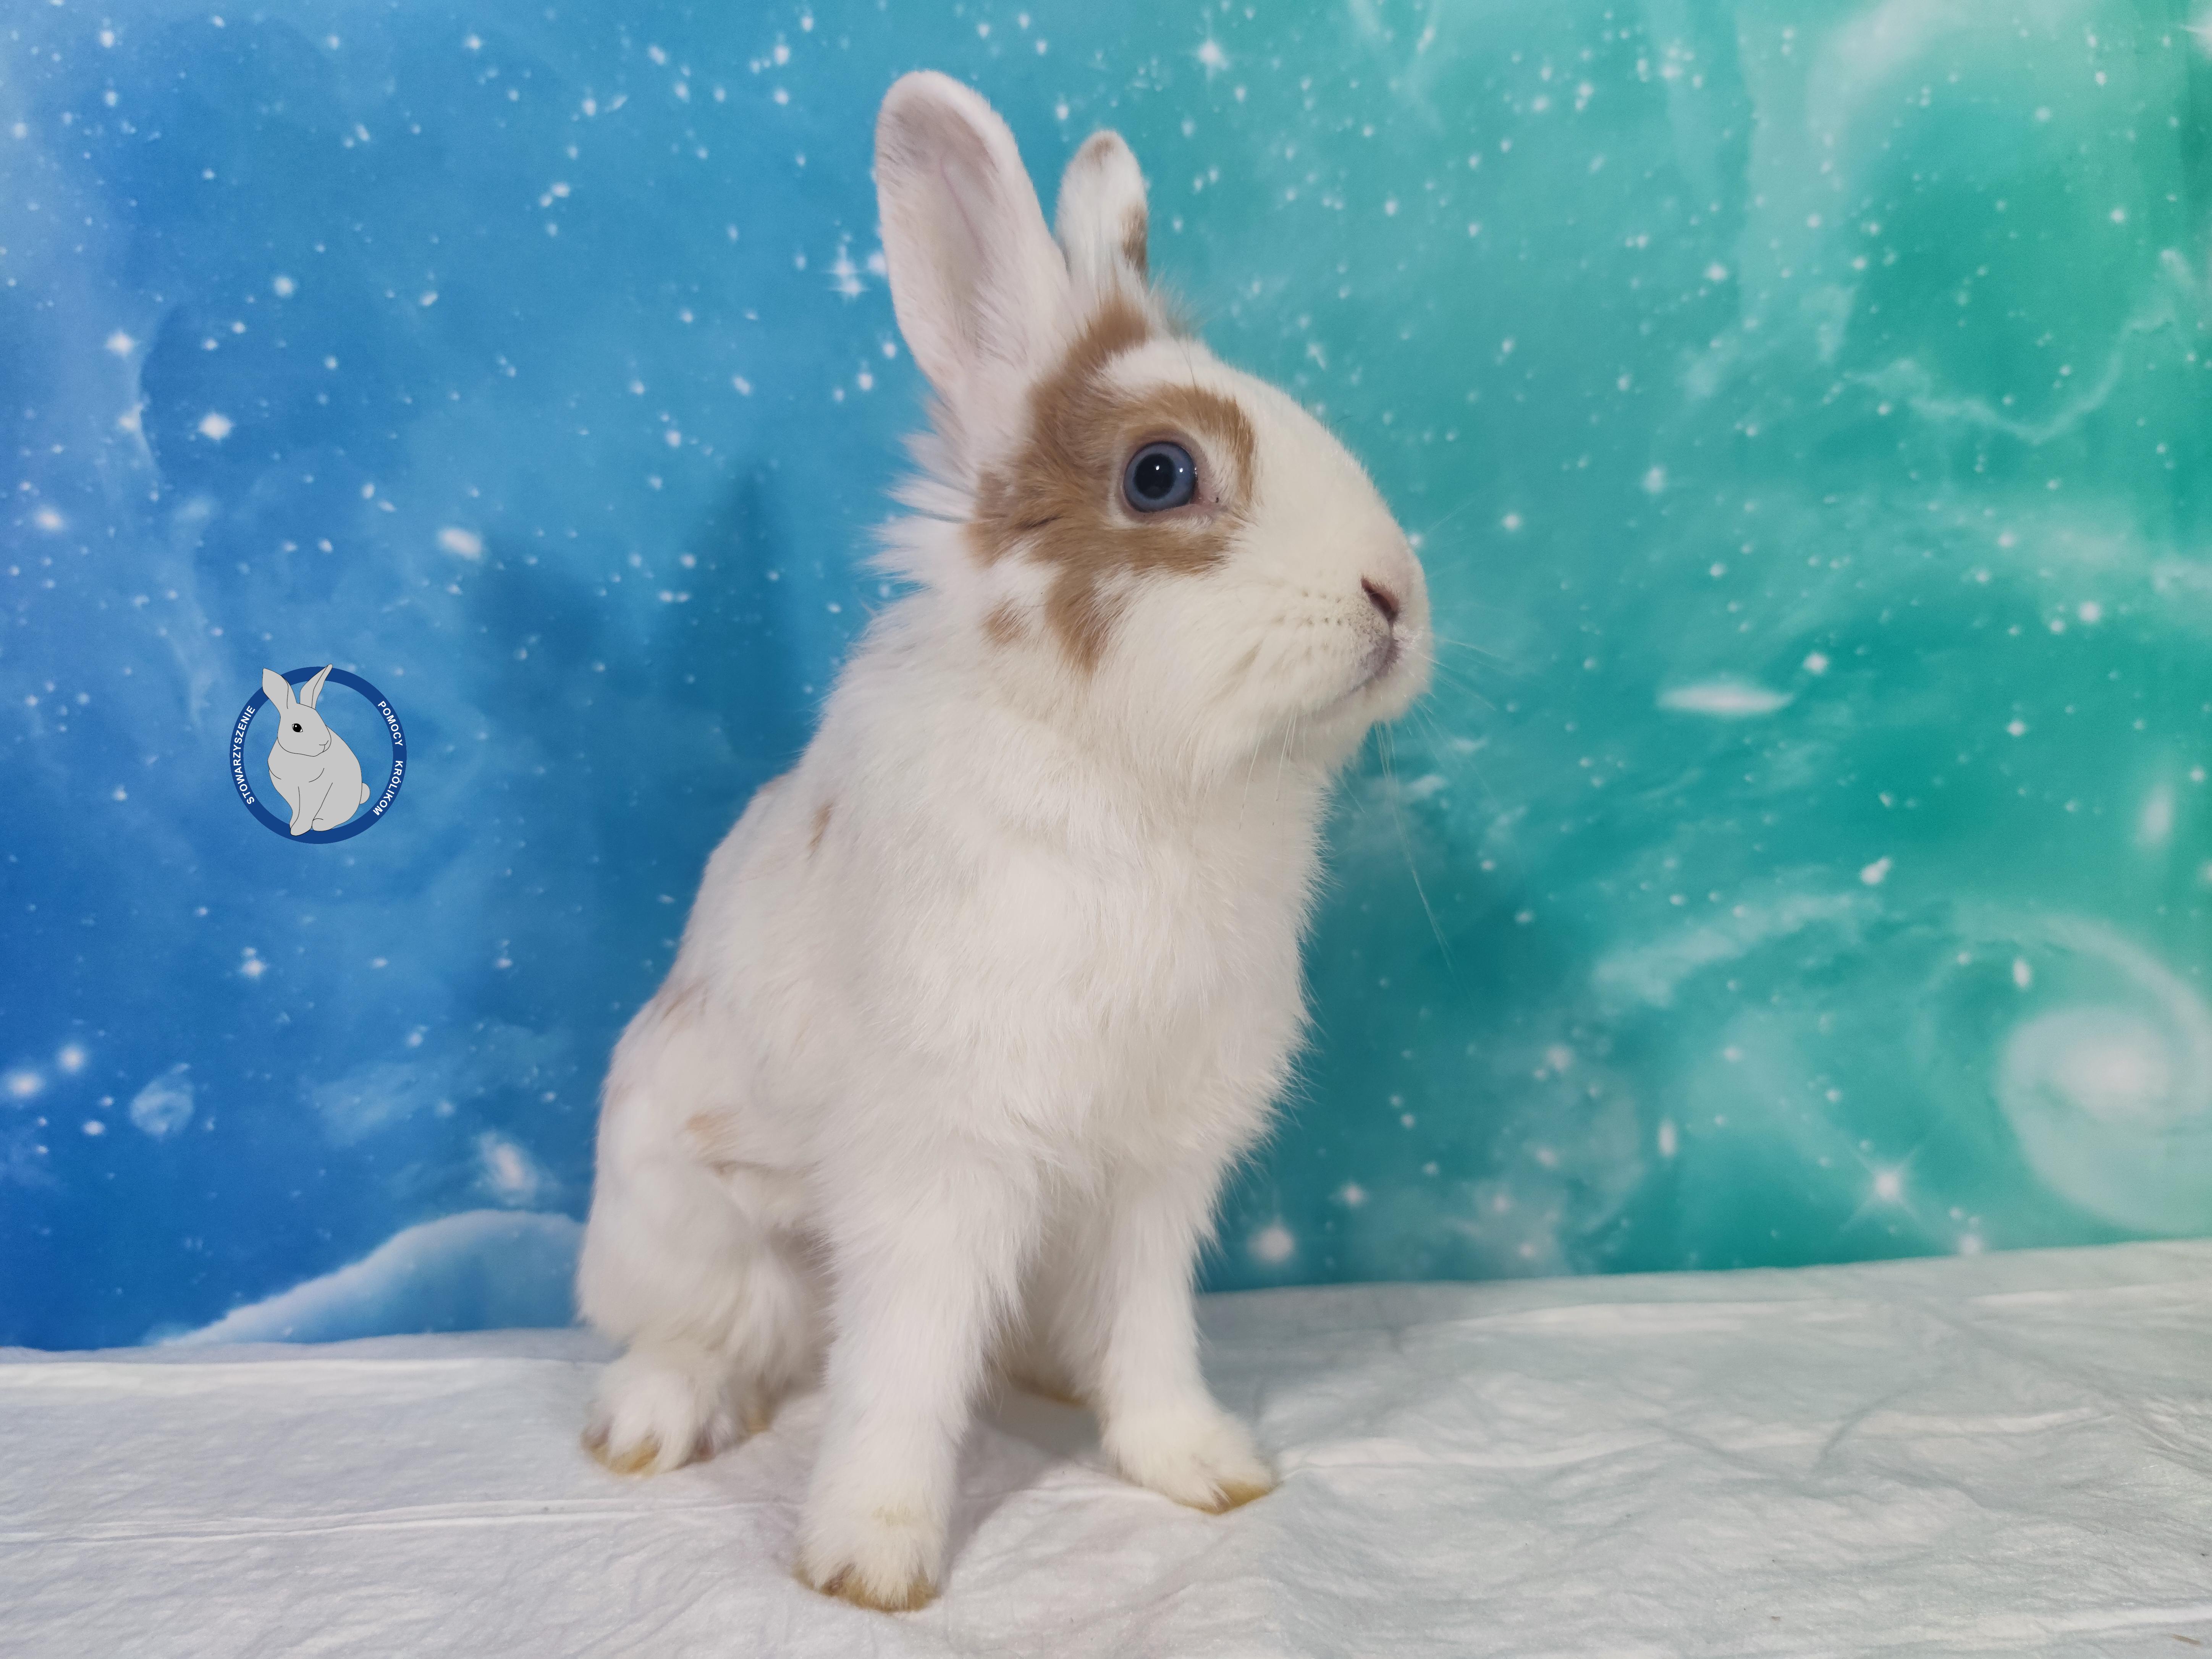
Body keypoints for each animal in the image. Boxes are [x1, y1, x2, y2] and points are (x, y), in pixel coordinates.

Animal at [262, 666, 370, 836]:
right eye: (296, 727)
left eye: (320, 720)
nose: (325, 743)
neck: (298, 757)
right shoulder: (290, 790)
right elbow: (297, 809)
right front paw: (293, 825)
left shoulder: (314, 789)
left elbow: (307, 811)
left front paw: (298, 830)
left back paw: (321, 825)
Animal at [575, 70, 1431, 1612]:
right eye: (1160, 474)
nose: (1394, 594)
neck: (1132, 771)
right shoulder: (941, 1155)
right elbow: (903, 1364)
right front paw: (868, 1556)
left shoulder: (1154, 1170)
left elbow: (1151, 1330)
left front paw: (1199, 1464)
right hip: (684, 1220)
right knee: (716, 1332)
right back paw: (649, 1418)